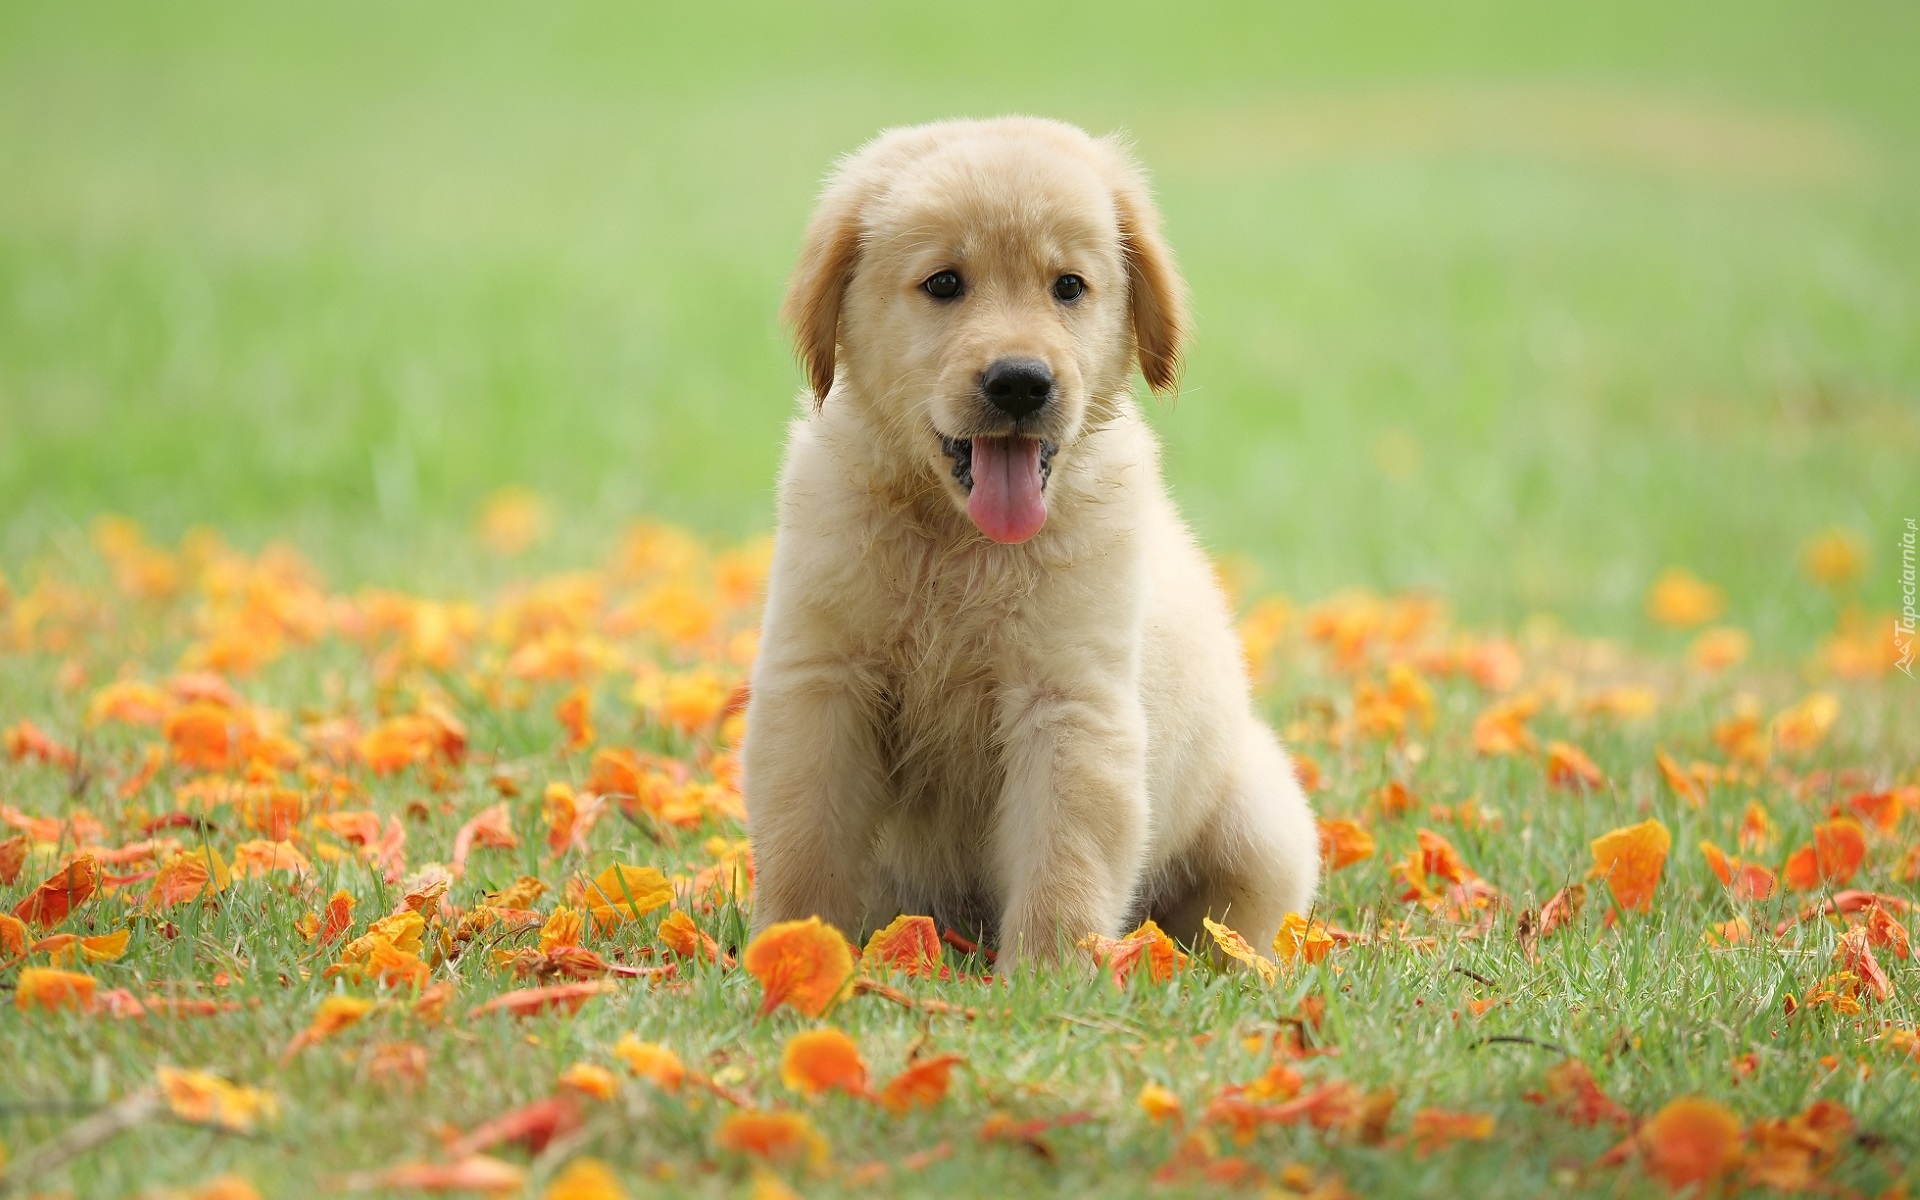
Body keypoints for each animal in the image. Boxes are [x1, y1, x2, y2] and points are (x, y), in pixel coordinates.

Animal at [741, 117, 1313, 960]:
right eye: (945, 283)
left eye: (1067, 287)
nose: (1019, 382)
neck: (957, 540)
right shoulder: (821, 683)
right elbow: (804, 838)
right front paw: (796, 946)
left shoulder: (1069, 703)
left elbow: (1063, 858)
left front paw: (1049, 974)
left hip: (1262, 821)